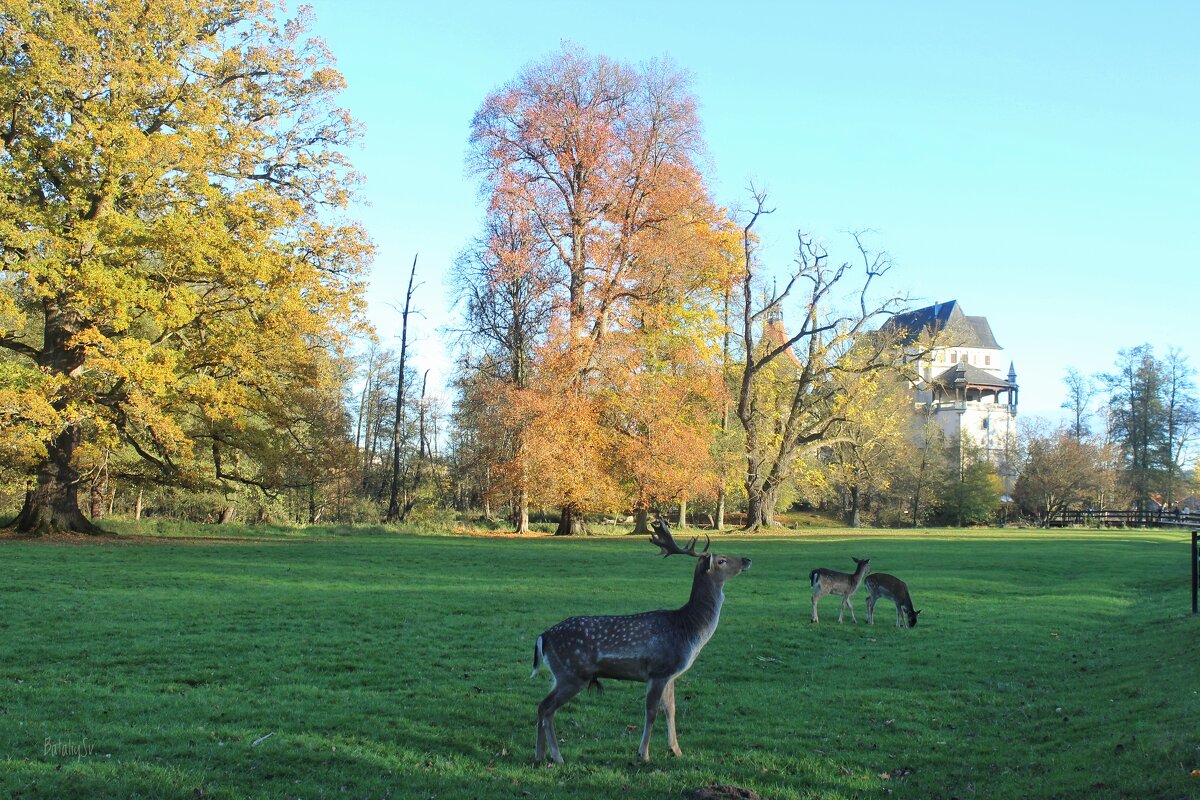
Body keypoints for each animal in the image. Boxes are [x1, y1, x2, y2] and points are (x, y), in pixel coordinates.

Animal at [528, 520, 748, 762]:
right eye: (721, 560)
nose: (747, 560)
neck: (688, 629)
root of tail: (543, 636)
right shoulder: (658, 670)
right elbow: (651, 712)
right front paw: (644, 754)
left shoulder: (671, 674)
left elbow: (671, 709)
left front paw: (676, 750)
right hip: (572, 673)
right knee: (546, 707)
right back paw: (556, 756)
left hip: (561, 675)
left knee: (542, 707)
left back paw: (540, 755)